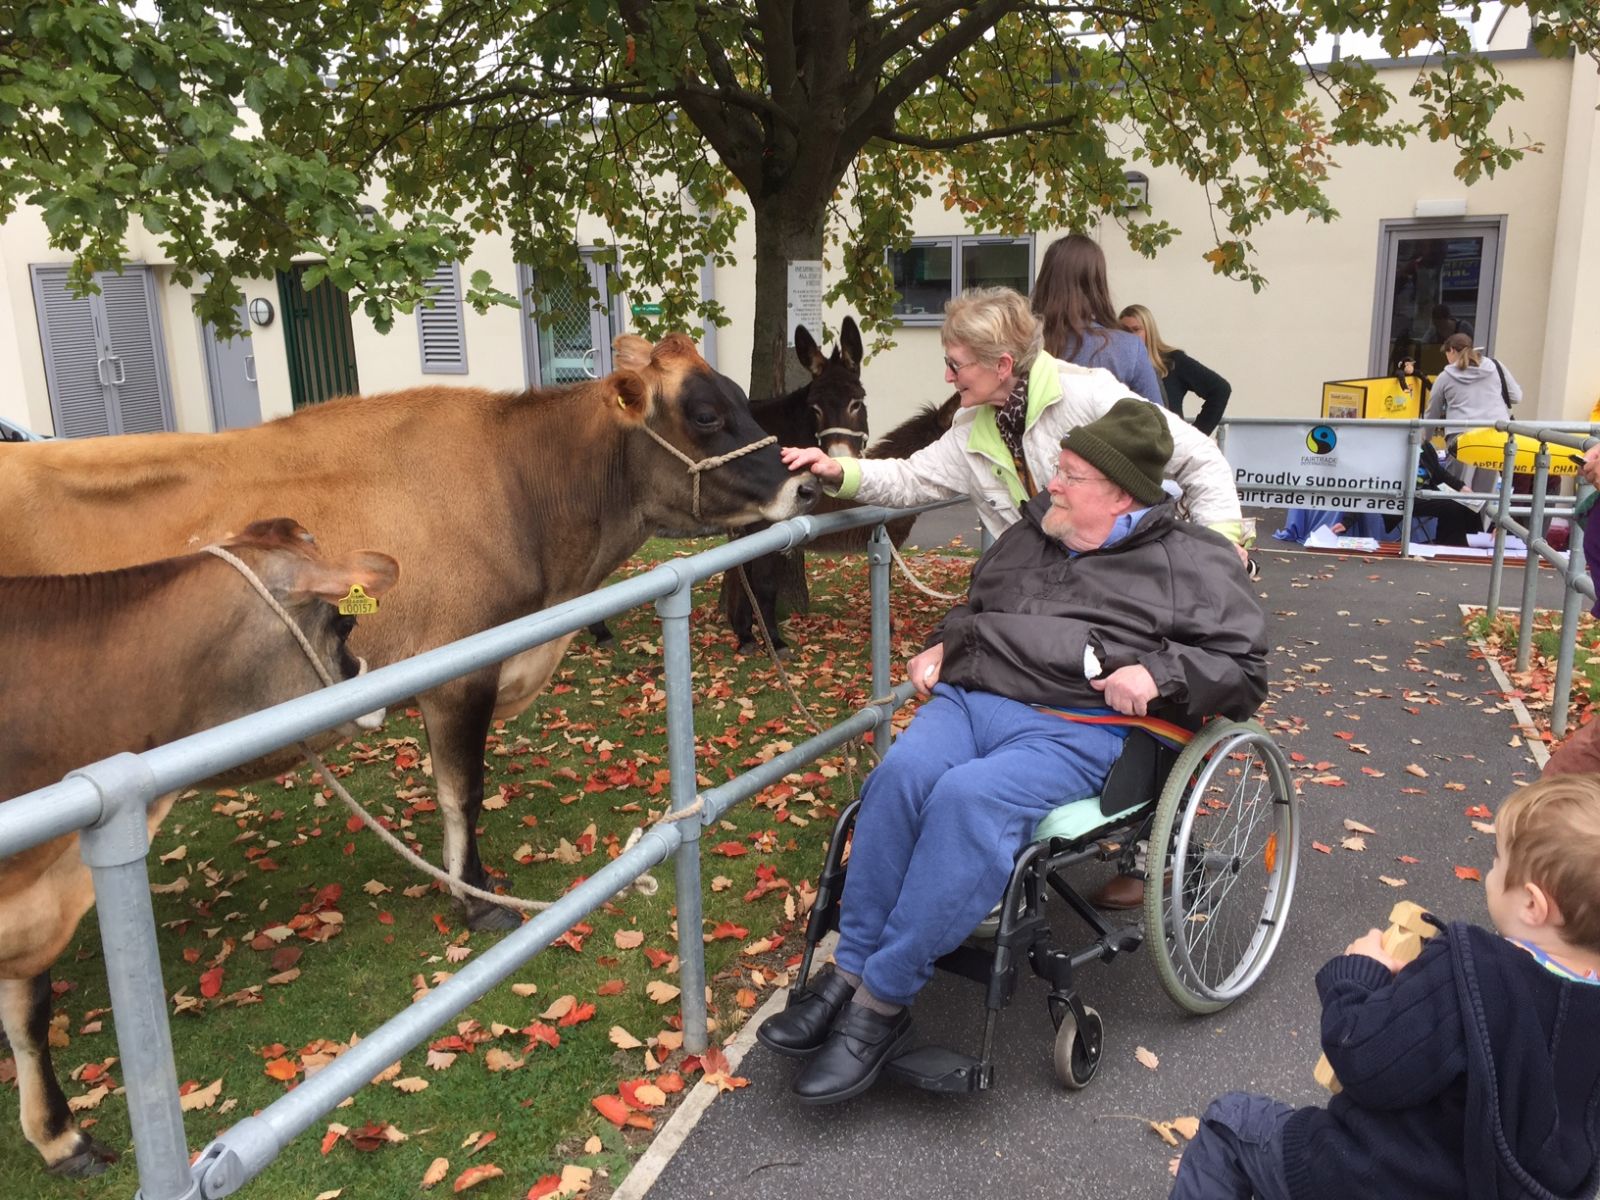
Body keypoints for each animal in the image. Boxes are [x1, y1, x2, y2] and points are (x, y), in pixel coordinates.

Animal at [0, 334, 819, 934]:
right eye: (705, 415)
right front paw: (479, 899)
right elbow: (464, 792)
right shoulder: (458, 672)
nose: (806, 481)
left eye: (739, 399)